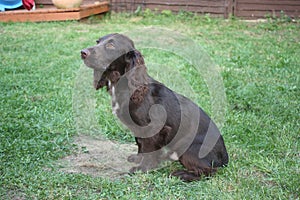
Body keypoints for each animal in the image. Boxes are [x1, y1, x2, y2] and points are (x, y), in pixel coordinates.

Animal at [81, 33, 229, 181]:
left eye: (111, 45)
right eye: (97, 42)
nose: (83, 52)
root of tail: (225, 159)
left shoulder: (154, 128)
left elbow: (148, 148)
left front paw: (142, 168)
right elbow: (140, 143)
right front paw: (138, 158)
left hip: (188, 148)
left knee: (209, 171)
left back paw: (182, 174)